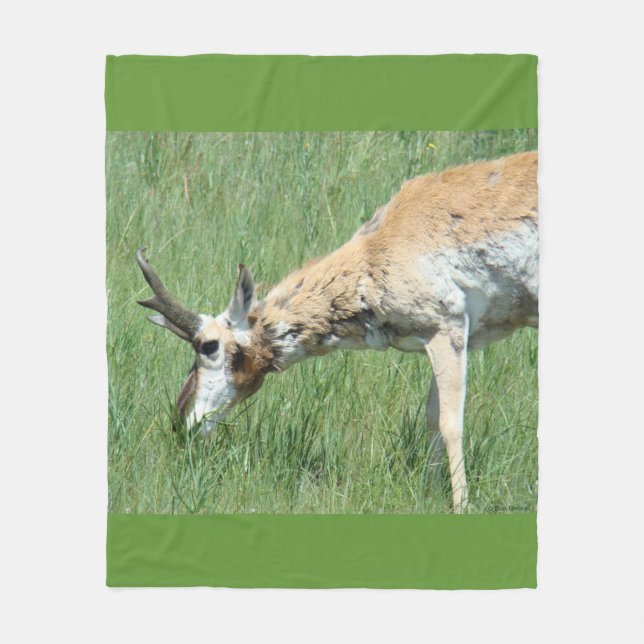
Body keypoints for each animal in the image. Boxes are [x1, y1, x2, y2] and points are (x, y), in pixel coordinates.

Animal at [136, 151, 538, 513]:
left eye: (208, 346)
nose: (180, 424)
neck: (378, 248)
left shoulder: (448, 329)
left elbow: (450, 422)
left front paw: (462, 506)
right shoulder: (439, 338)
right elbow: (431, 418)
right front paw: (427, 493)